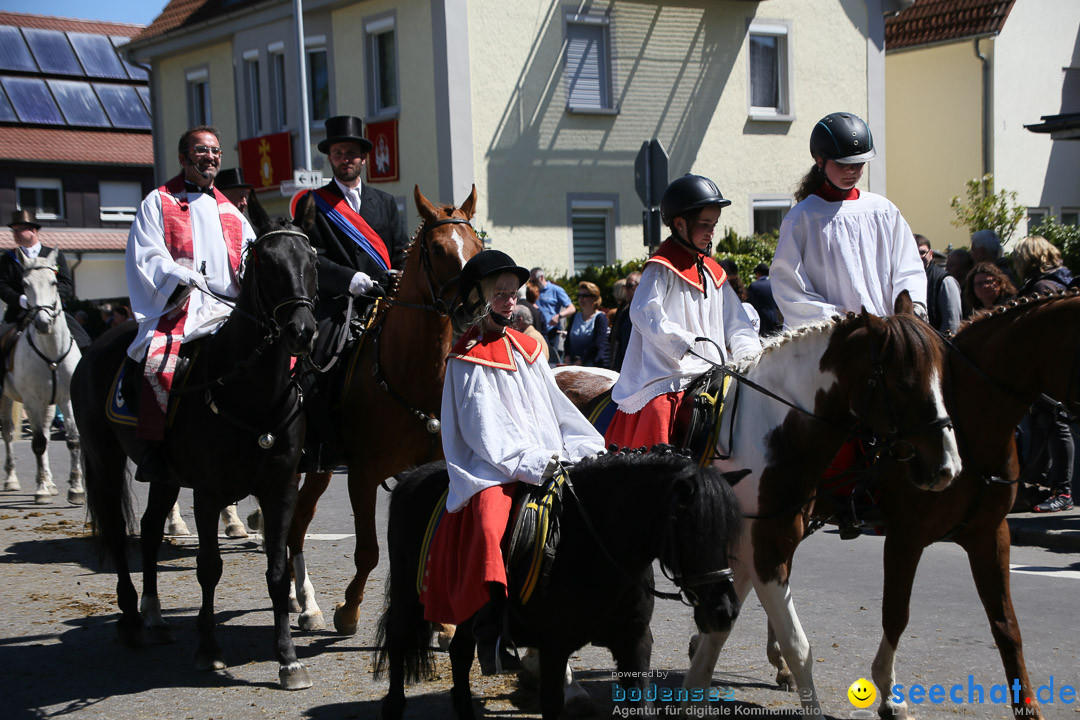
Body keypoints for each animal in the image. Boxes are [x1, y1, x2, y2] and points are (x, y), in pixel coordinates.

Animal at [0, 250, 82, 505]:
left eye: (54, 282)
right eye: (25, 284)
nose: (43, 323)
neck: (51, 351)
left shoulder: (67, 399)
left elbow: (73, 440)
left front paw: (76, 489)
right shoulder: (32, 401)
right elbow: (37, 444)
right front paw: (41, 490)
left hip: (48, 404)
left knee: (45, 432)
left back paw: (51, 481)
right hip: (7, 398)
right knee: (8, 433)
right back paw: (12, 480)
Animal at [69, 209, 315, 690]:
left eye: (311, 259)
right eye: (266, 263)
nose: (302, 330)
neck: (252, 394)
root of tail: (93, 348)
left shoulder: (280, 490)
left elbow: (277, 572)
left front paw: (288, 658)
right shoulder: (208, 494)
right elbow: (209, 567)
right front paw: (209, 649)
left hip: (163, 475)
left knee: (148, 530)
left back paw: (154, 616)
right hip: (104, 459)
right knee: (118, 532)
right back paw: (131, 619)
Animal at [373, 451, 743, 720]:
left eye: (727, 531)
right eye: (690, 529)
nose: (724, 611)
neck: (593, 546)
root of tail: (410, 476)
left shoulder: (635, 642)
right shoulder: (554, 647)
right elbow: (552, 707)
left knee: (460, 652)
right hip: (409, 597)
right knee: (398, 641)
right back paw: (393, 706)